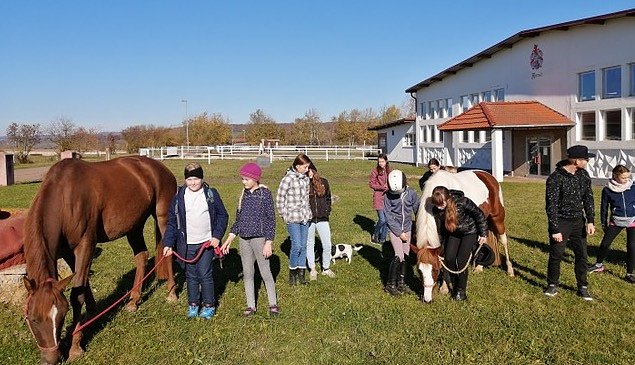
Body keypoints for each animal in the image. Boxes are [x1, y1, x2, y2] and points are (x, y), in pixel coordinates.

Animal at [23, 156, 176, 364]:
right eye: (32, 318)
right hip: (134, 225)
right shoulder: (67, 252)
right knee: (141, 257)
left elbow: (77, 295)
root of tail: (159, 166)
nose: (51, 359)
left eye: (63, 314)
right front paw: (93, 312)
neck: (65, 197)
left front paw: (76, 347)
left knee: (169, 253)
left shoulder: (86, 244)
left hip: (163, 216)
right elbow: (83, 283)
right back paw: (133, 301)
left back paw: (171, 294)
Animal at [414, 169, 516, 302]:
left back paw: (510, 270)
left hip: (497, 218)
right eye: (419, 270)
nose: (427, 299)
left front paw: (445, 288)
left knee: (503, 240)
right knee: (484, 240)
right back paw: (479, 267)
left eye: (435, 269)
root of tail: (488, 176)